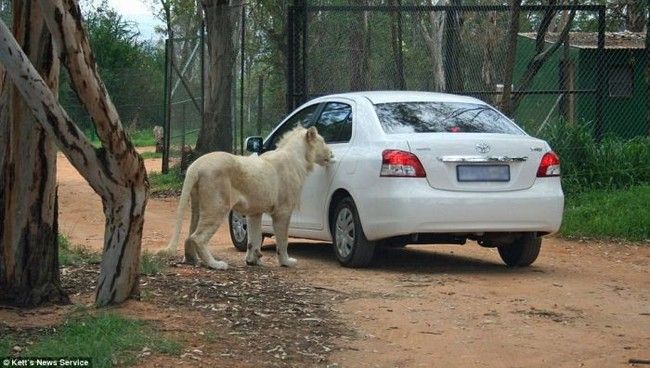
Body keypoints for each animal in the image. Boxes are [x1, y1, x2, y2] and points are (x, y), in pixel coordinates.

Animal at [165, 128, 332, 268]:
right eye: (323, 141)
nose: (331, 154)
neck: (300, 158)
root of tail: (196, 165)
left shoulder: (254, 212)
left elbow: (254, 238)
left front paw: (253, 260)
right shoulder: (282, 211)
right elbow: (283, 240)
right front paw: (286, 262)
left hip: (197, 204)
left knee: (189, 235)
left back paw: (191, 259)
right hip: (217, 205)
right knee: (198, 237)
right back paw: (216, 264)